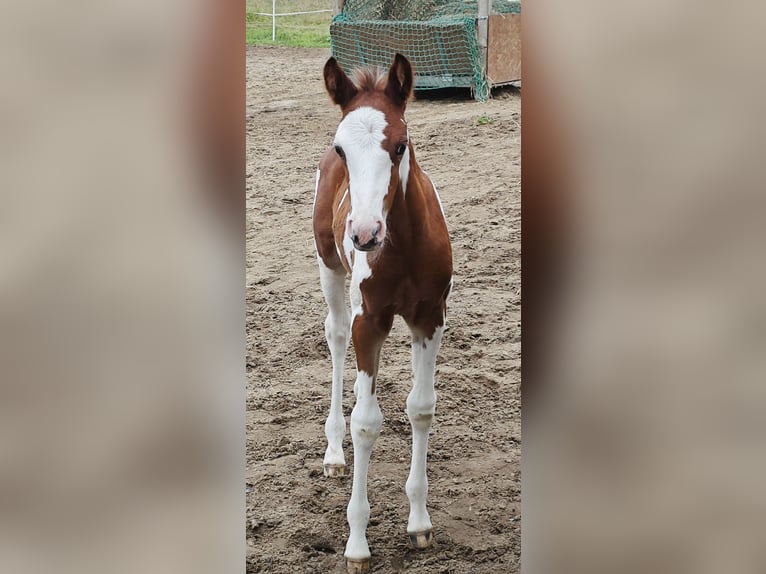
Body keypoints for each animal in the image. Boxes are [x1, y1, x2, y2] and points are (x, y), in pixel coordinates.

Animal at [312, 53, 452, 572]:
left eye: (400, 145)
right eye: (342, 148)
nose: (365, 234)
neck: (403, 246)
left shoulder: (429, 316)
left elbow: (421, 408)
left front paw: (419, 523)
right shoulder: (368, 321)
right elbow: (367, 423)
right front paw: (357, 544)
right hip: (330, 268)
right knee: (335, 338)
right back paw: (334, 453)